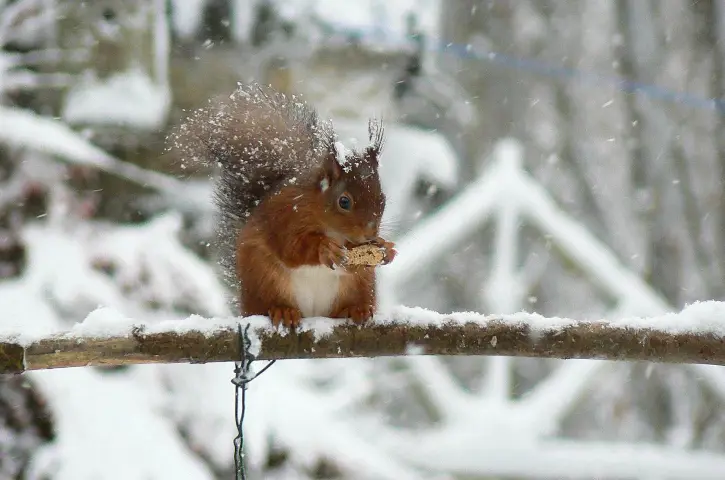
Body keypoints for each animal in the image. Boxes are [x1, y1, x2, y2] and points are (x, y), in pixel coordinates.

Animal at [175, 84, 396, 328]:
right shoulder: (284, 218)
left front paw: (386, 248)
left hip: (359, 286)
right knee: (270, 303)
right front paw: (324, 248)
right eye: (344, 201)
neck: (327, 223)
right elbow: (292, 248)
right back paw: (283, 311)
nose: (370, 233)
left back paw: (355, 309)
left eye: (383, 199)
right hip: (265, 280)